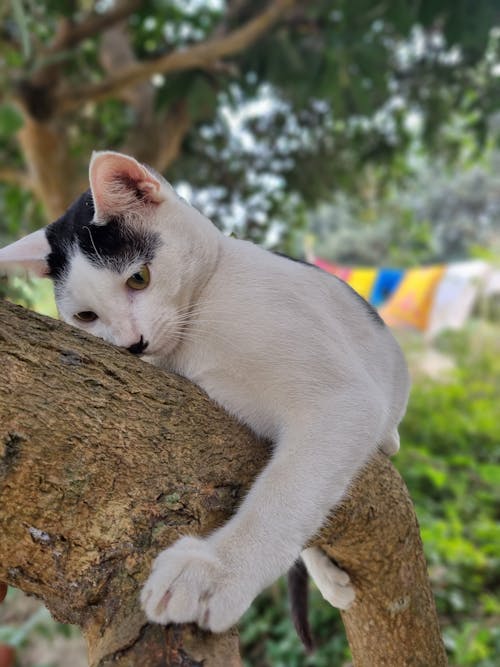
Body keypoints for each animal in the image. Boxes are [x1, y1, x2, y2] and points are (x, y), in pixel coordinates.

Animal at [0, 151, 408, 640]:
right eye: (86, 316)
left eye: (139, 279)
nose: (133, 343)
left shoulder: (342, 401)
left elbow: (284, 496)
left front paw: (217, 571)